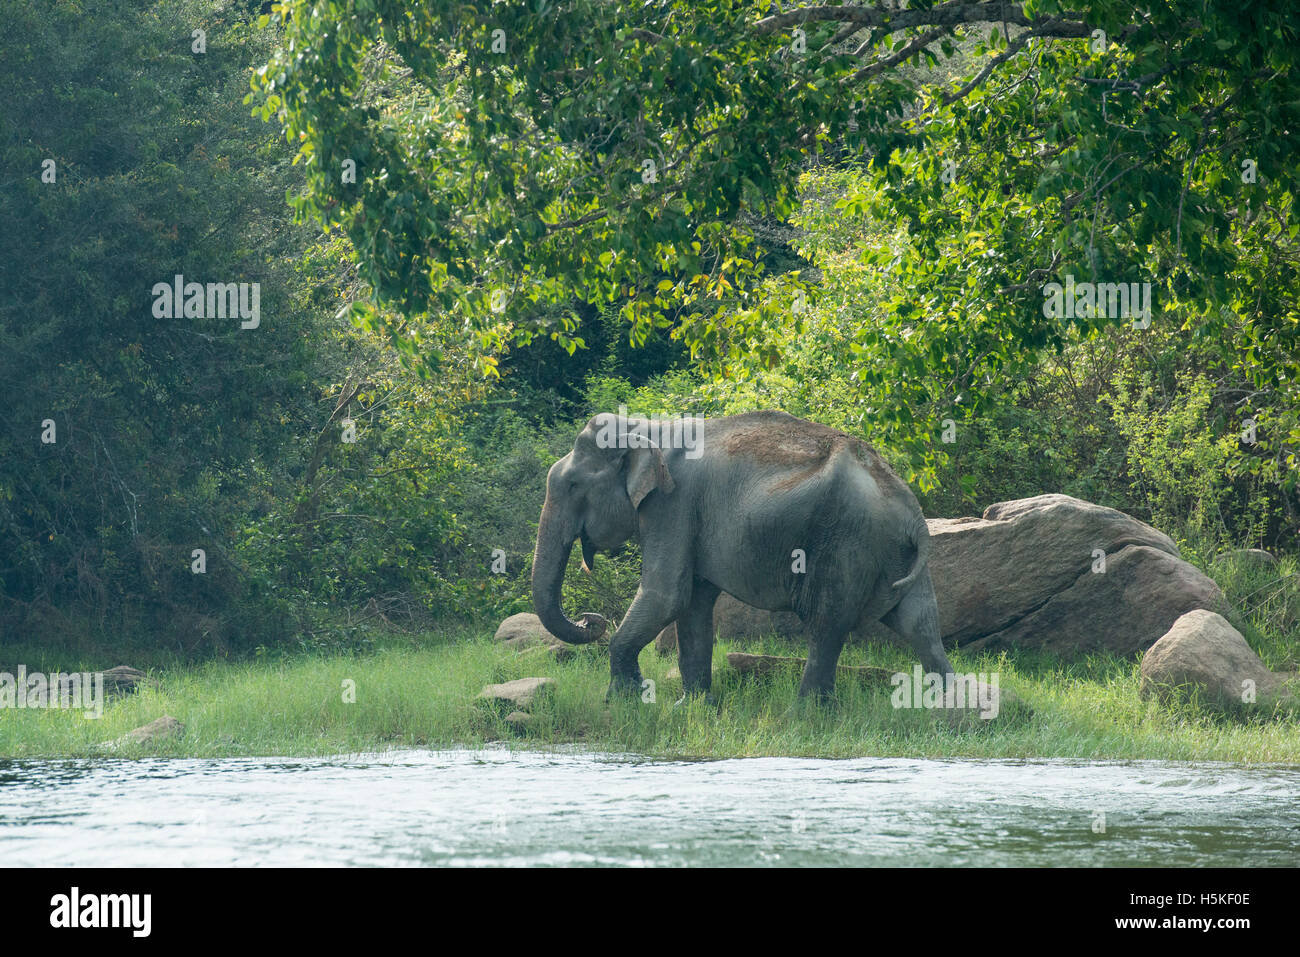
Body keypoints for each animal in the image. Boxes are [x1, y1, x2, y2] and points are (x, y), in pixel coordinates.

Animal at [530, 409, 956, 702]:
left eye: (573, 485)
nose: (591, 618)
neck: (648, 427)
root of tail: (911, 510)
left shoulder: (673, 504)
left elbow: (666, 595)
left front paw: (623, 700)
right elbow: (693, 603)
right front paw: (692, 705)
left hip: (848, 542)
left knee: (826, 623)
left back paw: (805, 712)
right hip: (894, 553)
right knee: (919, 620)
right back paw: (948, 704)